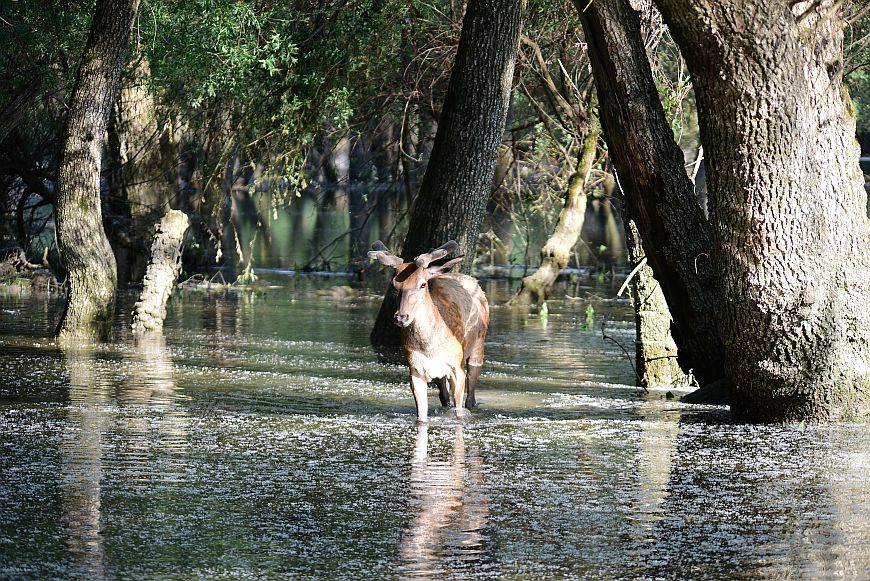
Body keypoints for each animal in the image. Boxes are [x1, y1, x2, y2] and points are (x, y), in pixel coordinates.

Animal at [368, 239, 490, 422]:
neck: (429, 348)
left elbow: (459, 411)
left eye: (422, 284)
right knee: (444, 396)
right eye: (394, 285)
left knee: (470, 396)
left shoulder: (457, 366)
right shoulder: (415, 370)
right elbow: (421, 416)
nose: (401, 317)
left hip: (477, 346)